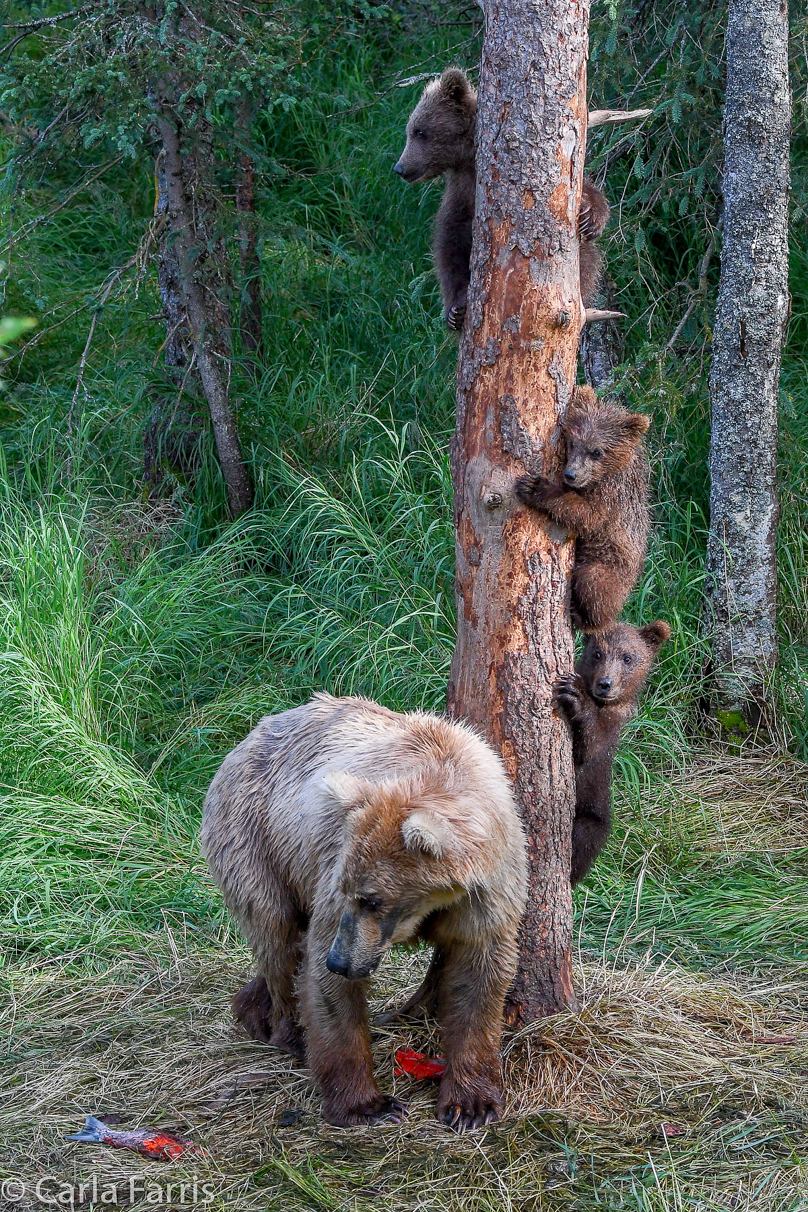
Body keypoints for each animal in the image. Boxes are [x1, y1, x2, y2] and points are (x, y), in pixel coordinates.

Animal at [201, 698, 528, 1129]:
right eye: (350, 892)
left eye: (373, 899)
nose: (339, 961)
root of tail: (245, 740)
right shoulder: (333, 863)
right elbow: (328, 988)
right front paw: (370, 1105)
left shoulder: (487, 891)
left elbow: (478, 978)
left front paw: (470, 1105)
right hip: (257, 841)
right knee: (278, 937)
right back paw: (290, 1033)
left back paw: (252, 1007)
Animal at [392, 66, 612, 332]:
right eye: (411, 131)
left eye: (420, 132)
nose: (400, 167)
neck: (469, 155)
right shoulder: (461, 190)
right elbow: (450, 240)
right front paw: (455, 309)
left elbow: (585, 189)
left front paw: (591, 218)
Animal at [518, 387, 649, 635]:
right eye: (571, 442)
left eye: (596, 451)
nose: (571, 474)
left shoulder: (613, 497)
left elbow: (588, 515)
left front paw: (535, 488)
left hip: (610, 565)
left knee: (595, 585)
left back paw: (584, 618)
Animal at [557, 620, 668, 887]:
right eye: (597, 653)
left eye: (627, 657)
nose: (605, 684)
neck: (603, 705)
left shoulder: (608, 736)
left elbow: (587, 748)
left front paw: (576, 694)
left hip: (592, 813)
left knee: (584, 840)